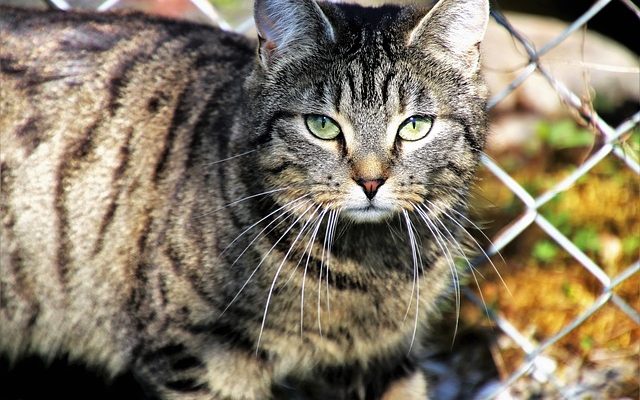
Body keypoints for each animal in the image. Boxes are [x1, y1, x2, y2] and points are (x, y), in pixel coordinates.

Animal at [1, 0, 490, 398]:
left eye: (415, 126)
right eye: (322, 126)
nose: (371, 182)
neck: (368, 267)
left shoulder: (386, 357)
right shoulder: (197, 358)